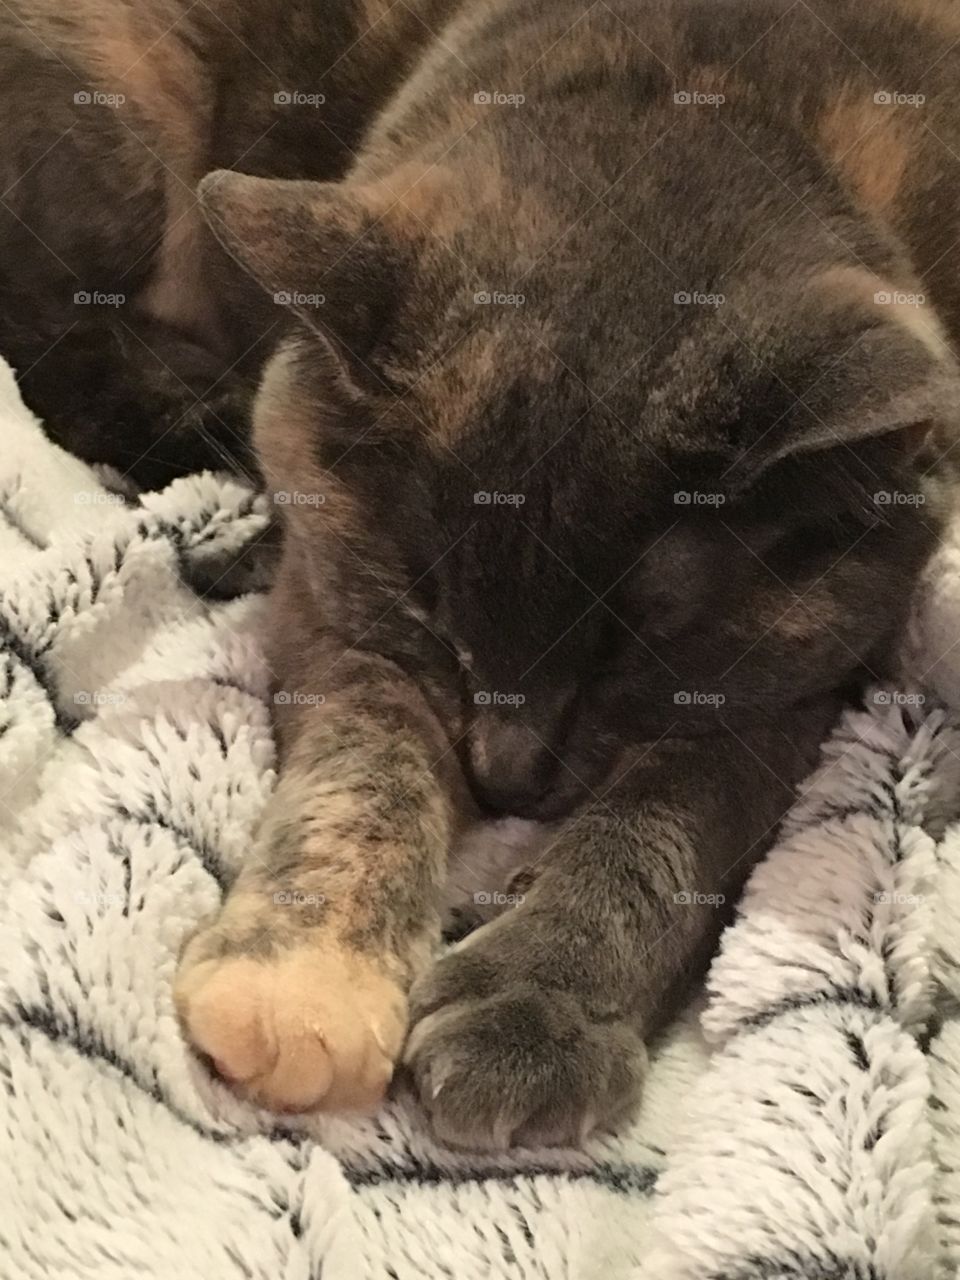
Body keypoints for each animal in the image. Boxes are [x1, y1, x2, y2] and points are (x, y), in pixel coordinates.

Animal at [1, 0, 960, 1146]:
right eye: (430, 603)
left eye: (634, 648)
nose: (506, 778)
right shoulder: (338, 597)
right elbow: (366, 762)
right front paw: (305, 978)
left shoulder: (799, 669)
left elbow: (672, 819)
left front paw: (535, 1009)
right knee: (47, 329)